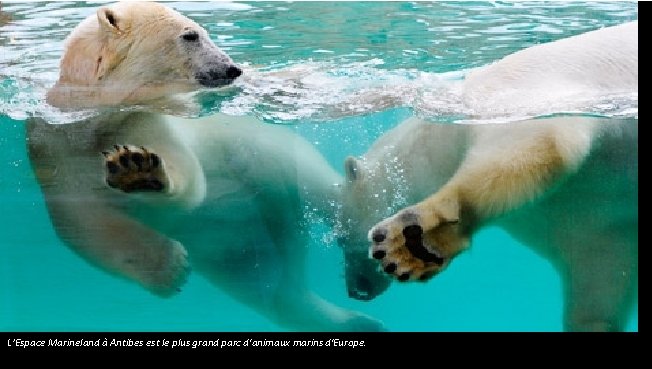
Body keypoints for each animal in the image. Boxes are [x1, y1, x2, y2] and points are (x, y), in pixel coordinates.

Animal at [29, 0, 388, 330]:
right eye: (191, 35)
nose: (233, 69)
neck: (95, 119)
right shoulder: (57, 150)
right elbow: (86, 227)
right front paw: (171, 269)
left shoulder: (144, 120)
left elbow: (186, 173)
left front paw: (138, 169)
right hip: (234, 243)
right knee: (272, 291)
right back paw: (358, 321)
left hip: (271, 156)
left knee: (322, 190)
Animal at [338, 20, 640, 330]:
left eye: (341, 238)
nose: (357, 290)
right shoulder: (587, 217)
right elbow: (599, 278)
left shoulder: (514, 97)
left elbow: (537, 142)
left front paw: (411, 243)